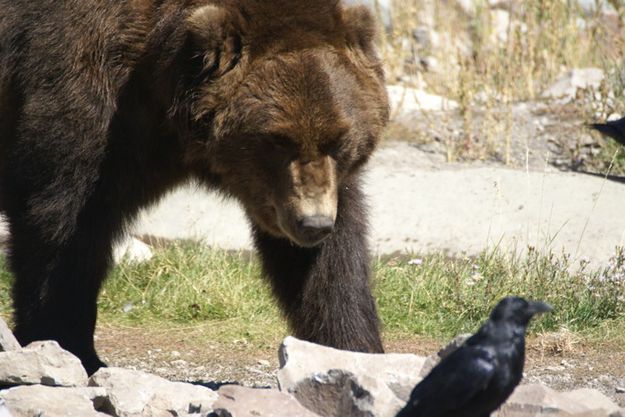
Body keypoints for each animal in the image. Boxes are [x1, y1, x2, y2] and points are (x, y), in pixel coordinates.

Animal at [0, 0, 388, 374]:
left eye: (338, 140)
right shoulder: (84, 88)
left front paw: (351, 349)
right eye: (278, 139)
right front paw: (69, 346)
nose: (312, 223)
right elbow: (64, 225)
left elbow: (331, 262)